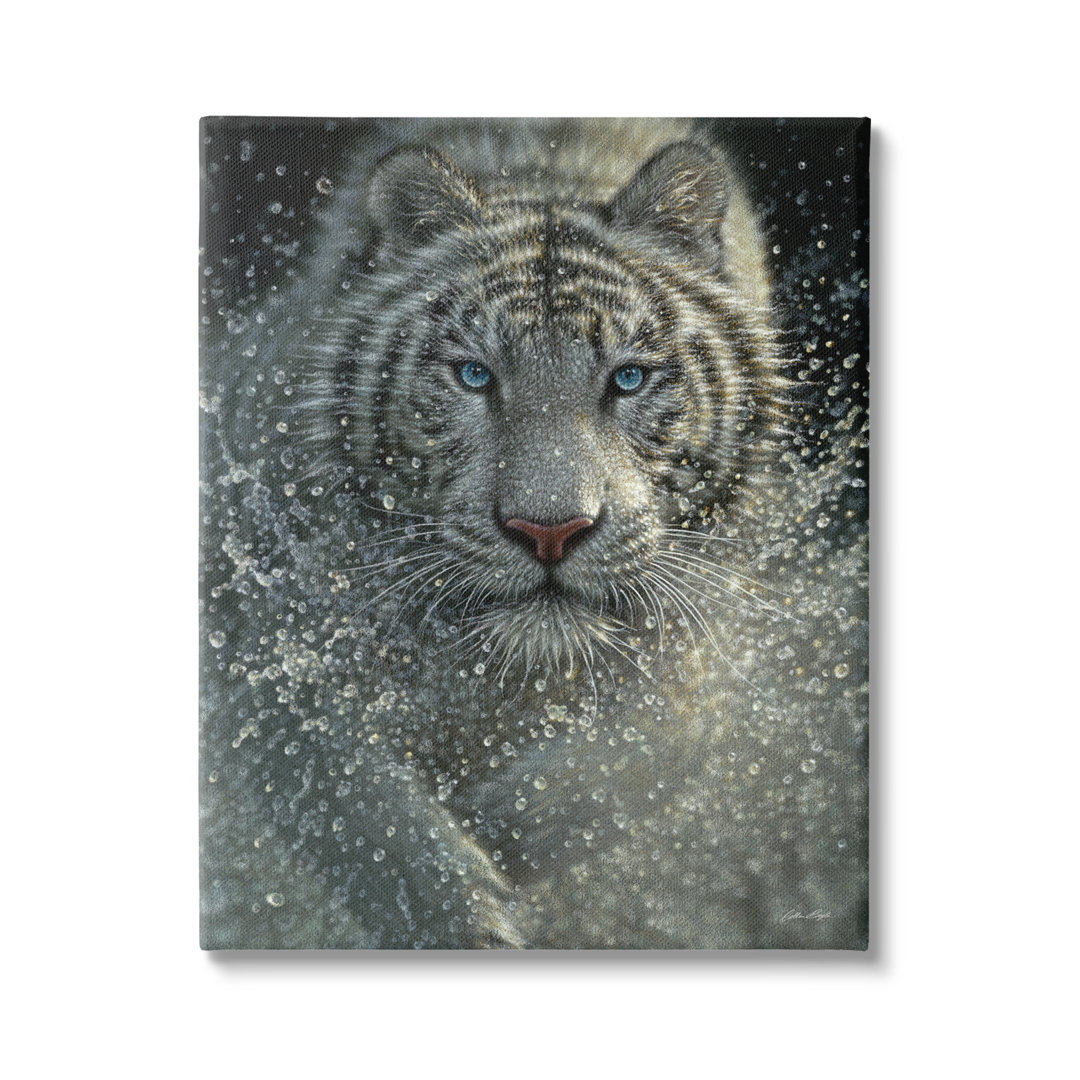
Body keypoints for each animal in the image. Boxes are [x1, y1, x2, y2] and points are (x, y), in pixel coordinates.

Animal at [199, 118, 869, 949]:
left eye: (628, 378)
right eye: (474, 375)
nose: (549, 532)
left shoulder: (710, 623)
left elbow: (667, 743)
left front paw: (498, 824)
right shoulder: (256, 629)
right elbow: (352, 797)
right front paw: (462, 907)